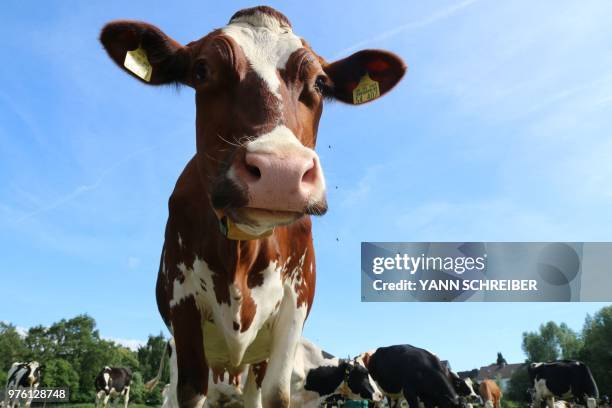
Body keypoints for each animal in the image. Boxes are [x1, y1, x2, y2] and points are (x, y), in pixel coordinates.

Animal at [100, 6, 404, 408]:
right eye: (202, 70)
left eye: (320, 83)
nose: (280, 171)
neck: (242, 250)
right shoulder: (183, 303)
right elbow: (190, 391)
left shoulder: (294, 305)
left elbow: (275, 394)